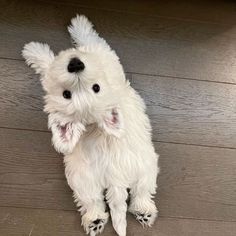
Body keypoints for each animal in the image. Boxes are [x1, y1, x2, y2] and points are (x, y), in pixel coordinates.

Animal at [22, 15, 159, 236]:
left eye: (96, 88)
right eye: (67, 94)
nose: (75, 64)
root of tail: (115, 179)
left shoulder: (98, 49)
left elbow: (77, 42)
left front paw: (78, 24)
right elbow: (52, 61)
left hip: (139, 167)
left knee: (140, 192)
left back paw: (140, 211)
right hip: (86, 180)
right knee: (96, 200)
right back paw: (98, 219)